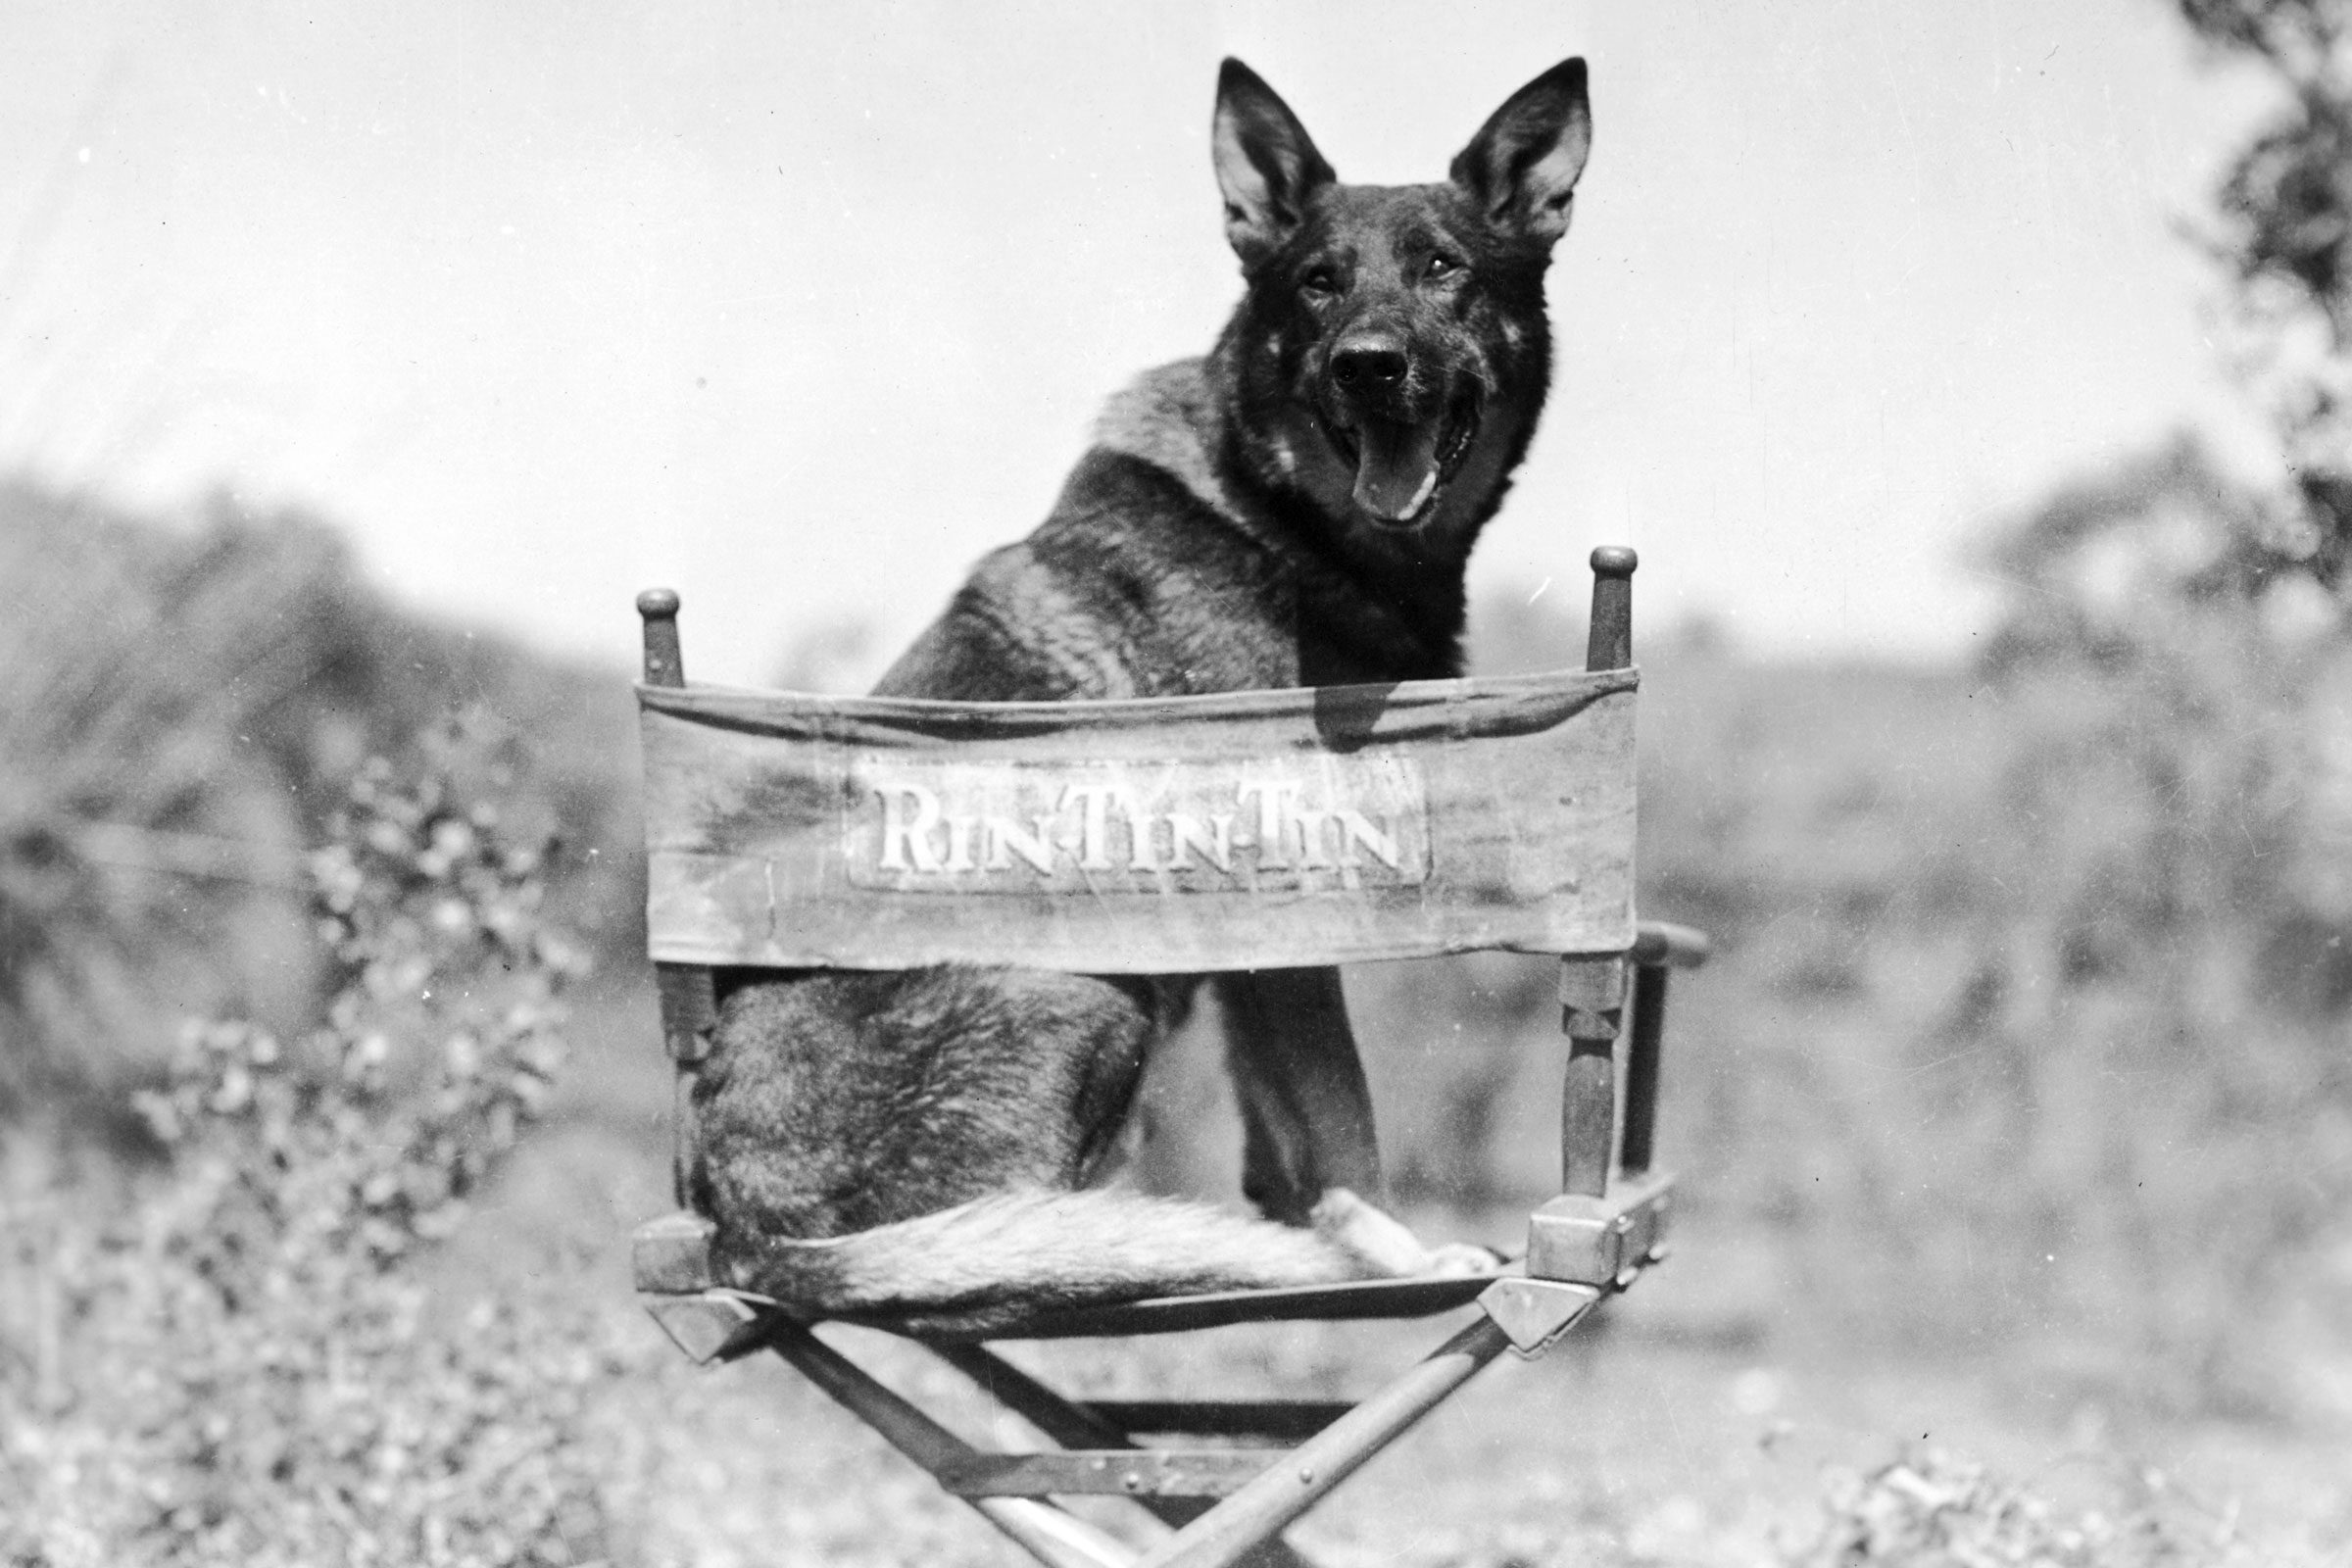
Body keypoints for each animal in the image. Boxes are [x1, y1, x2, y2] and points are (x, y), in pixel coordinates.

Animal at [686, 55, 1590, 1335]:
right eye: (1316, 283)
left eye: (1443, 268)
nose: (1368, 362)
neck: (1284, 516)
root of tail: (752, 1238)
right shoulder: (1284, 910)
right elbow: (1345, 1118)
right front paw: (1395, 1258)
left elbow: (1289, 1128)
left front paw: (1316, 1240)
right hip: (1090, 988)